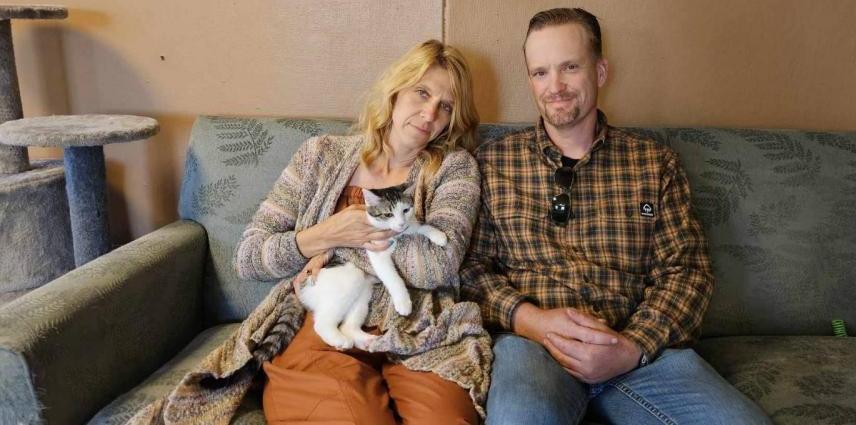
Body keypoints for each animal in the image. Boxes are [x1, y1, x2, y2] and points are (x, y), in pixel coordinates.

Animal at [297, 184, 448, 351]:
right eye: (388, 214)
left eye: (405, 210)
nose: (401, 223)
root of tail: (305, 289)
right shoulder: (376, 252)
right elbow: (392, 277)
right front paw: (403, 301)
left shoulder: (409, 226)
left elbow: (417, 226)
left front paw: (437, 234)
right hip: (348, 279)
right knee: (322, 323)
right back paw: (340, 340)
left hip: (364, 291)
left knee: (347, 325)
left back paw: (368, 340)